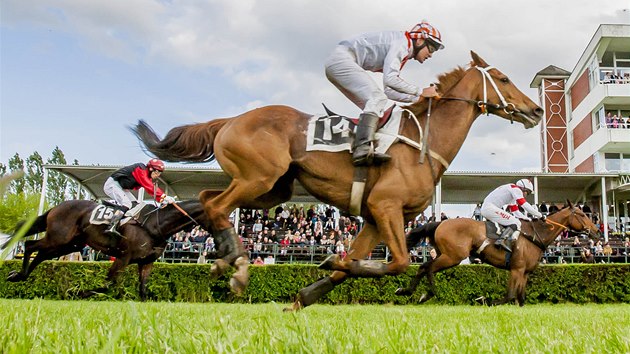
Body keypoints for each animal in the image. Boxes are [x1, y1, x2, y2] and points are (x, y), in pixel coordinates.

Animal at [4, 201, 207, 300]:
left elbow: (143, 289)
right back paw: (18, 274)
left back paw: (18, 276)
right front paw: (78, 293)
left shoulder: (146, 262)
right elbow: (108, 284)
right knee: (30, 246)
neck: (155, 224)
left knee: (40, 255)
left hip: (69, 245)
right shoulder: (123, 257)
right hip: (58, 239)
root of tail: (56, 207)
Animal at [132, 51, 544, 306]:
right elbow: (398, 263)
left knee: (205, 198)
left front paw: (308, 292)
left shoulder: (379, 218)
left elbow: (353, 265)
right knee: (218, 205)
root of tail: (231, 120)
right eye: (504, 77)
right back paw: (234, 264)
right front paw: (332, 265)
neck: (425, 142)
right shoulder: (384, 206)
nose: (537, 110)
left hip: (271, 190)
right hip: (258, 178)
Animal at [398, 202, 600, 306]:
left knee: (423, 267)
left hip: (445, 254)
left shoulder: (524, 272)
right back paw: (427, 294)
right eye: (582, 214)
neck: (535, 236)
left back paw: (406, 291)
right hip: (452, 257)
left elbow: (521, 298)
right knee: (428, 268)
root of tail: (440, 223)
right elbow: (510, 295)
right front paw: (484, 299)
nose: (597, 231)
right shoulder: (516, 269)